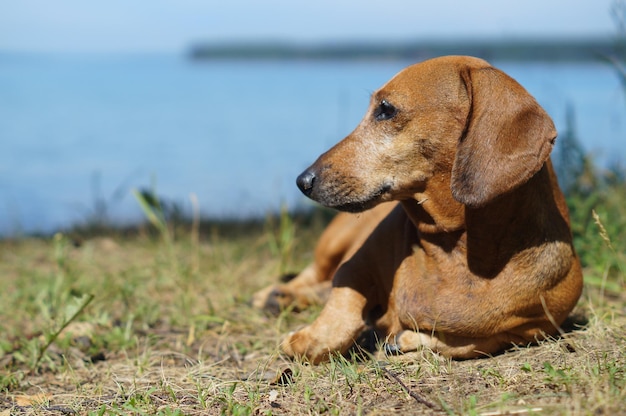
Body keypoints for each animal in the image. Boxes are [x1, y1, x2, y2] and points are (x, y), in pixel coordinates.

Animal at [251, 56, 584, 364]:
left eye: (386, 109)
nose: (302, 180)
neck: (456, 248)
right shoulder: (357, 264)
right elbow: (344, 297)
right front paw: (310, 339)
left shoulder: (532, 329)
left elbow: (469, 343)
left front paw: (409, 340)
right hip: (332, 243)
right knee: (314, 275)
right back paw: (275, 294)